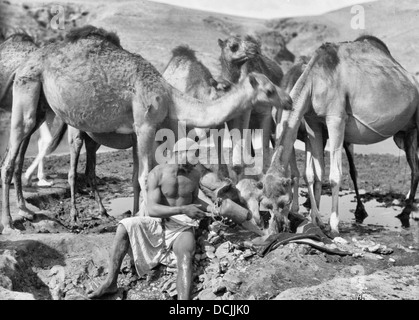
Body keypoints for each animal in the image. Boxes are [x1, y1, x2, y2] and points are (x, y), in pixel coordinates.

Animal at [0, 25, 292, 234]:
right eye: (268, 90)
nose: (288, 100)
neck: (173, 98)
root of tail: (26, 62)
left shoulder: (143, 134)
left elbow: (136, 178)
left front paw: (134, 213)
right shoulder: (146, 126)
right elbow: (144, 177)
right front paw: (145, 217)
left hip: (41, 105)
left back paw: (28, 210)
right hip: (31, 90)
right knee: (15, 158)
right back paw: (14, 221)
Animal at [260, 36, 419, 236]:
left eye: (285, 202)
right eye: (266, 205)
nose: (277, 229)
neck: (313, 81)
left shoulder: (335, 118)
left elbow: (334, 175)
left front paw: (334, 225)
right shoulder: (313, 123)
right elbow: (315, 173)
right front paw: (316, 220)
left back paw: (403, 213)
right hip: (405, 133)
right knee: (415, 167)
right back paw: (404, 212)